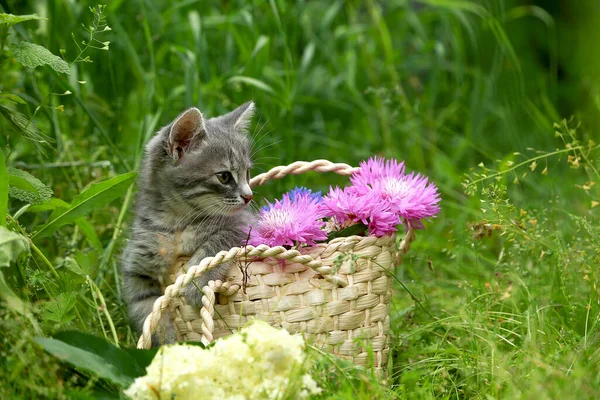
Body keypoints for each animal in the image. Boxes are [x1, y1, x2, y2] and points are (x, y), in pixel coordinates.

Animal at [120, 101, 254, 342]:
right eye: (224, 176)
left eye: (247, 173)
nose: (249, 196)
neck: (175, 223)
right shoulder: (135, 268)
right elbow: (147, 312)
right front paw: (167, 343)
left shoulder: (246, 224)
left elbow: (217, 244)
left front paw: (197, 283)